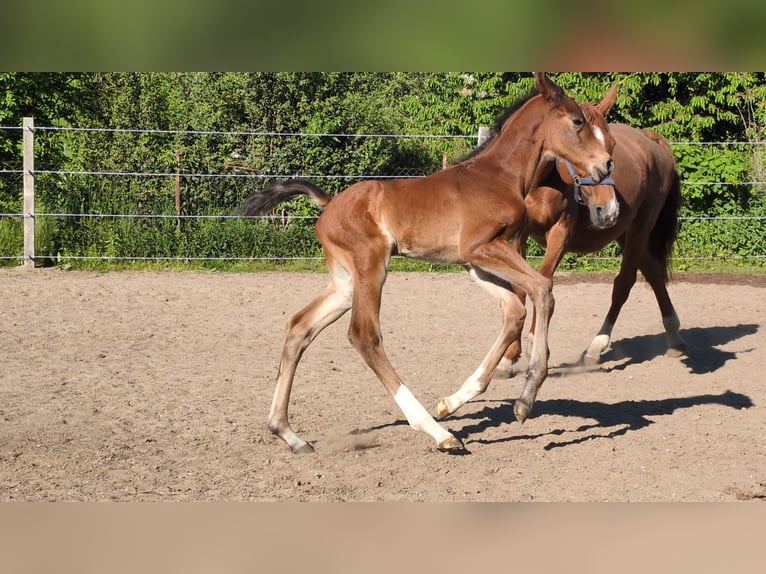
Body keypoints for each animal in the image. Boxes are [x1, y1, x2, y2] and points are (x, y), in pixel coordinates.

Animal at [243, 73, 613, 454]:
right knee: (364, 335)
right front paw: (525, 399)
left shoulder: (474, 262)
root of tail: (328, 204)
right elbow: (543, 288)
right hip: (371, 265)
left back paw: (288, 433)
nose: (606, 165)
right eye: (577, 121)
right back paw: (439, 433)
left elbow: (515, 310)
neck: (498, 175)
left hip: (346, 282)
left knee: (300, 326)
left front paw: (454, 401)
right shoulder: (481, 248)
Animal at [493, 84, 684, 380]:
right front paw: (508, 358)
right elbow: (519, 286)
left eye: (612, 146)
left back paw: (596, 346)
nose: (609, 208)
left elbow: (543, 279)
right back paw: (673, 335)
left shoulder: (560, 233)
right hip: (625, 234)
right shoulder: (516, 237)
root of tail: (652, 140)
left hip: (639, 230)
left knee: (624, 283)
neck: (539, 183)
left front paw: (535, 341)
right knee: (653, 273)